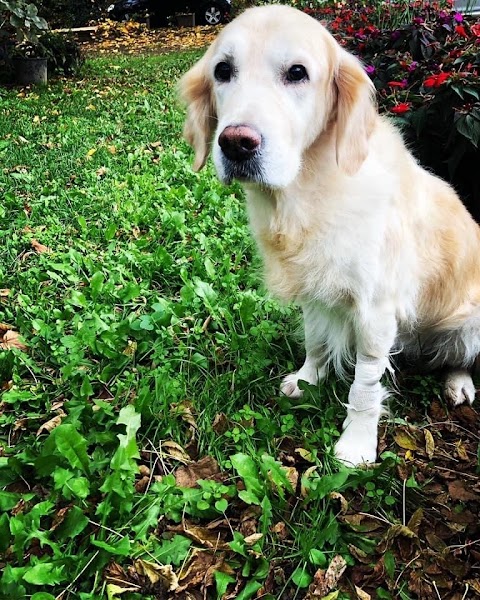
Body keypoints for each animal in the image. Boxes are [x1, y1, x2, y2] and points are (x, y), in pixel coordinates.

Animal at [180, 2, 480, 466]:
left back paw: (459, 382)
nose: (236, 143)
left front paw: (356, 445)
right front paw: (308, 378)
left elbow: (365, 388)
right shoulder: (313, 290)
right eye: (223, 70)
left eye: (297, 72)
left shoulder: (375, 311)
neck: (306, 192)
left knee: (461, 356)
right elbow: (316, 340)